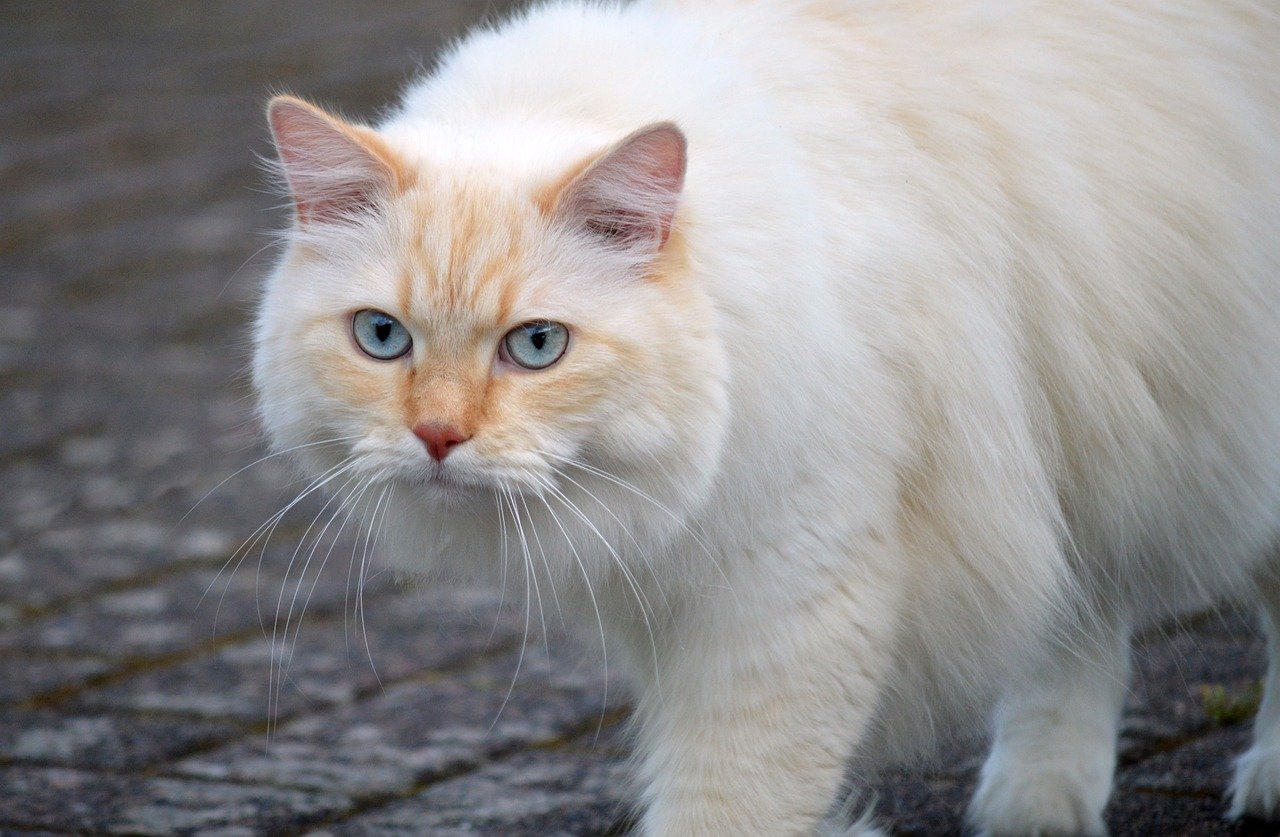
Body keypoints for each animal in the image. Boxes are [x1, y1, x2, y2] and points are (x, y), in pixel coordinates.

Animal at [249, 0, 1280, 834]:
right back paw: (1037, 804)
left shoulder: (786, 607)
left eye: (536, 346)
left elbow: (728, 807)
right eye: (382, 337)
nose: (437, 437)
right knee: (1077, 615)